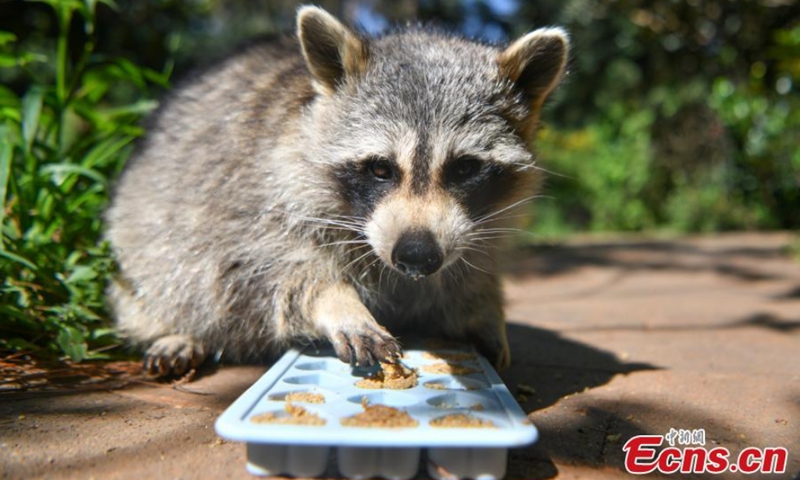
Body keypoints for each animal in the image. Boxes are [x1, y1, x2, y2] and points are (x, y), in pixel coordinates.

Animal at [105, 6, 569, 376]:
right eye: (380, 168)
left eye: (464, 168)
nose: (417, 255)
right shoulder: (257, 201)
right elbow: (271, 276)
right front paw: (338, 302)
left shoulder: (478, 228)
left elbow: (471, 274)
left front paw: (483, 311)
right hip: (138, 239)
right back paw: (174, 331)